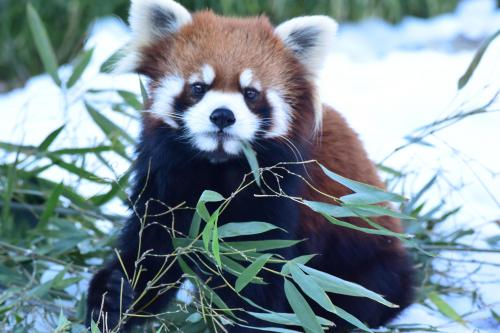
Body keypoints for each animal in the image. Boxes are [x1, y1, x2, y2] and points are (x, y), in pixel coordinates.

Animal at [86, 0, 414, 330]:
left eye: (251, 93)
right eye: (198, 87)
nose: (222, 115)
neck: (218, 167)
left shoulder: (275, 195)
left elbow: (259, 272)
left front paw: (243, 316)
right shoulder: (167, 182)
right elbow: (153, 249)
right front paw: (114, 296)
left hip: (367, 256)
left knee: (360, 294)